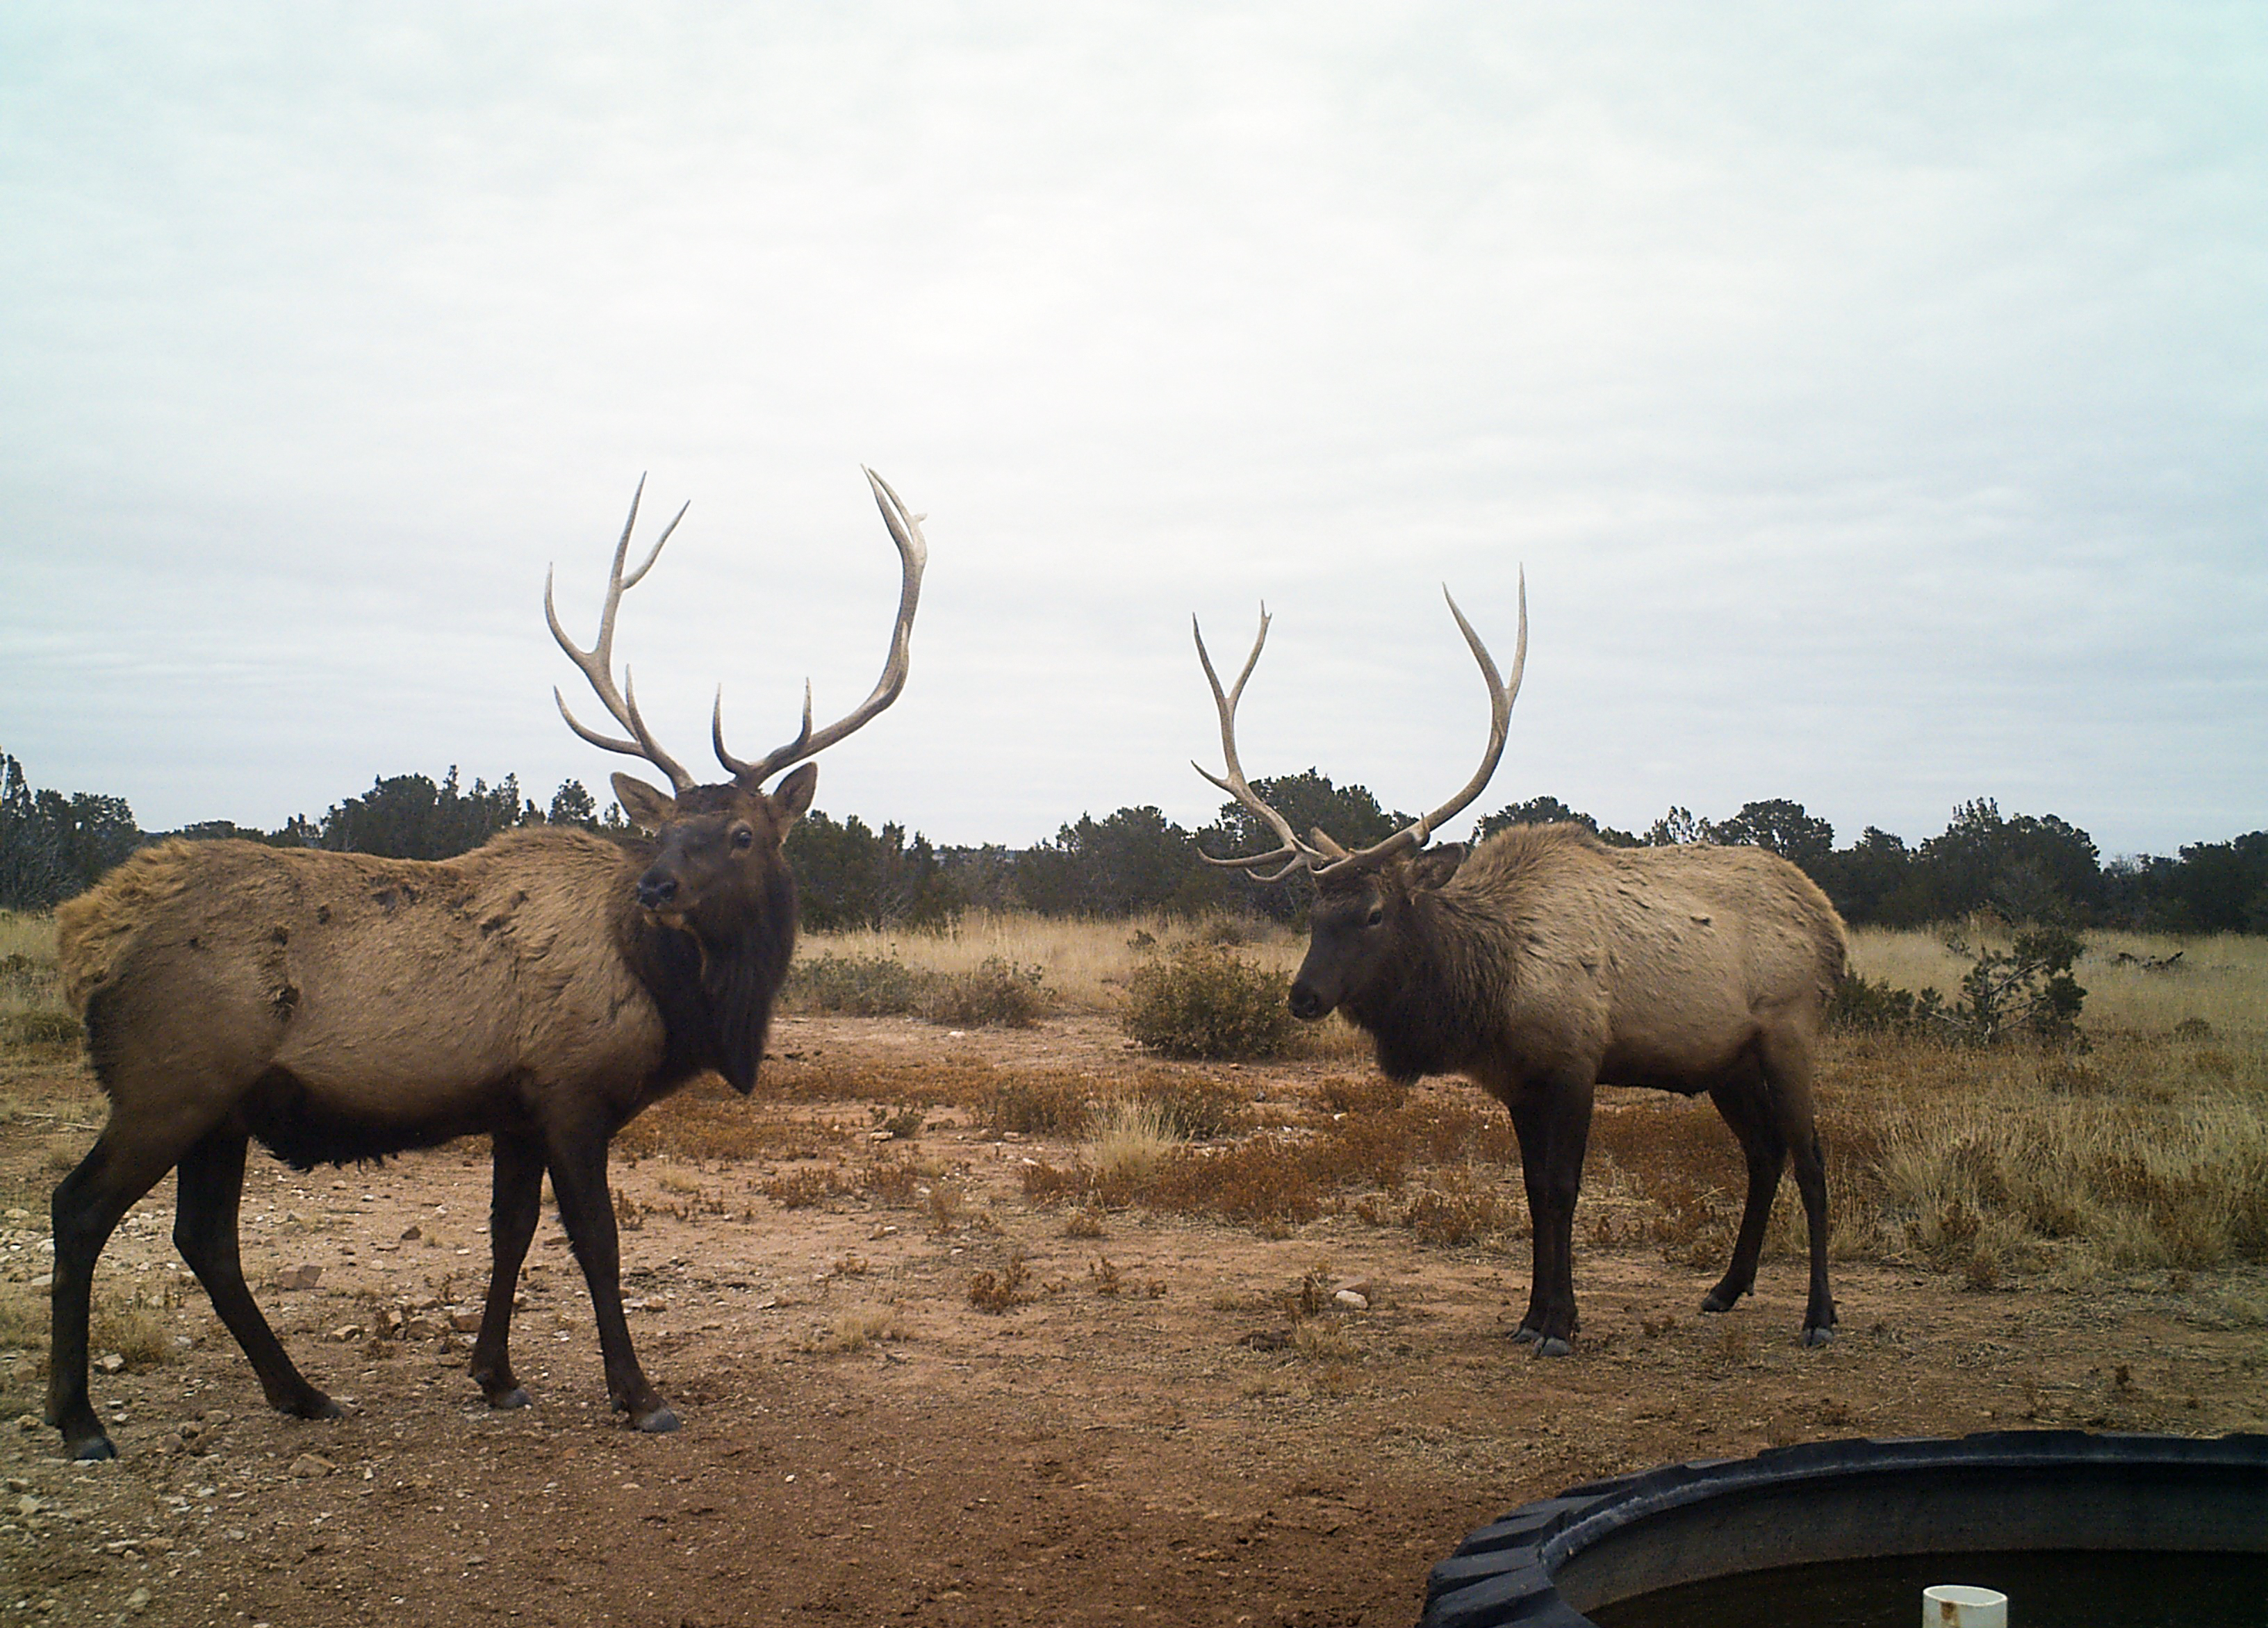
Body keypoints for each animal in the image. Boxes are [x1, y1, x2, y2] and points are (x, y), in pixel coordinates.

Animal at [1188, 580, 1841, 1360]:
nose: (1304, 996)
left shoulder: (1576, 1060)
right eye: (1314, 912)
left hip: (1790, 1032)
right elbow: (1531, 1192)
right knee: (1764, 1153)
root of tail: (1829, 922)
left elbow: (1562, 1189)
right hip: (1726, 1061)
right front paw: (1534, 1314)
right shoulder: (1516, 1081)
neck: (1487, 991)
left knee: (1811, 1157)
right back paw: (1724, 1288)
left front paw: (1560, 1326)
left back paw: (1820, 1315)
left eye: (1374, 913)